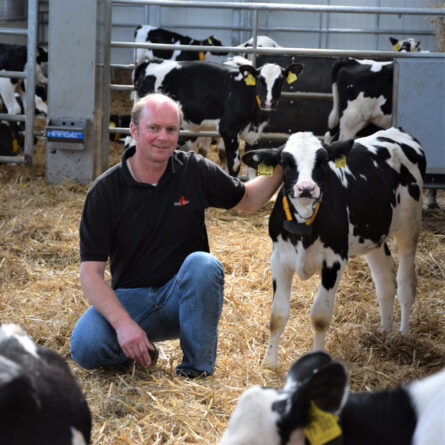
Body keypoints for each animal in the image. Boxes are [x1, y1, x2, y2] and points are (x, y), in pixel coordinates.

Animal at [241, 126, 424, 366]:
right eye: (286, 162)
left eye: (322, 161)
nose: (306, 188)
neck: (305, 223)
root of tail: (397, 131)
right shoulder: (279, 259)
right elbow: (277, 314)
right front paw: (269, 364)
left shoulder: (334, 261)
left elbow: (320, 317)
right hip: (373, 235)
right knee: (385, 279)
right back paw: (386, 333)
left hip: (409, 227)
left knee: (406, 283)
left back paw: (403, 335)